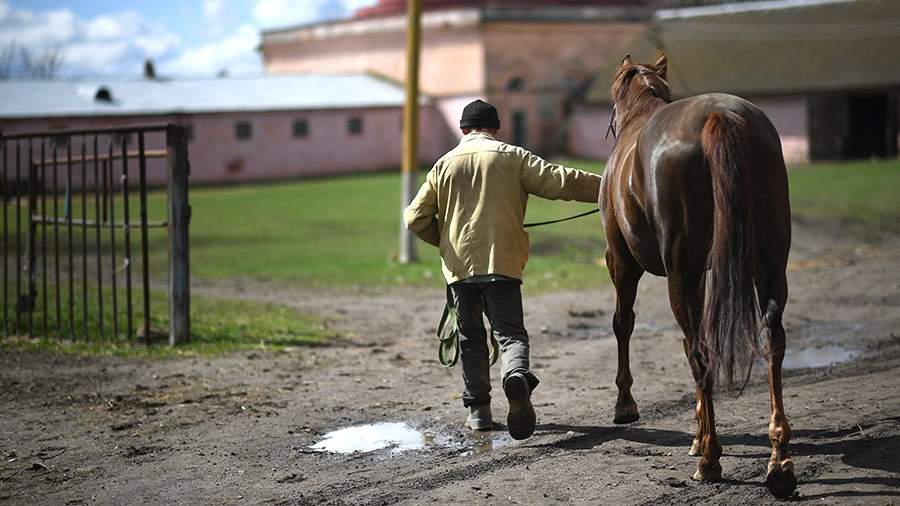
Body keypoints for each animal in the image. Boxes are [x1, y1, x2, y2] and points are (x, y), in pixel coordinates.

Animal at [604, 55, 796, 498]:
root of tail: (719, 116)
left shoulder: (623, 262)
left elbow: (624, 324)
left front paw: (626, 405)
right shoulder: (705, 274)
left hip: (680, 272)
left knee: (700, 351)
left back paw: (710, 459)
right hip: (767, 262)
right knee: (771, 340)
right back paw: (778, 461)